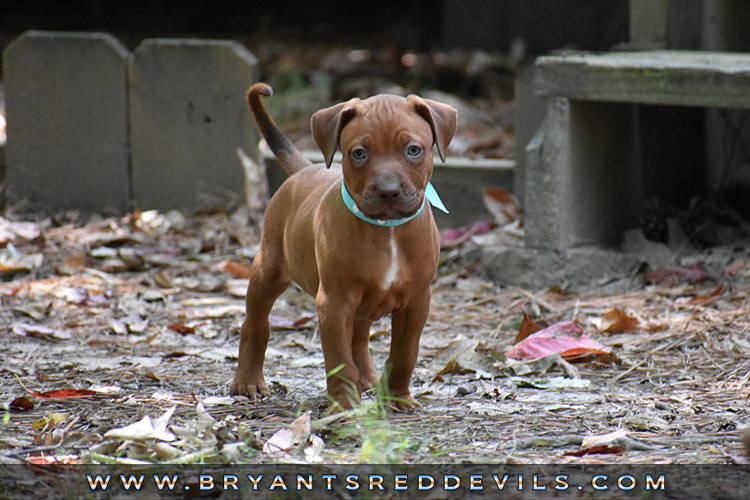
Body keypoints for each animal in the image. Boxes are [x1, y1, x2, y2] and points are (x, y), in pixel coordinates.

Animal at [231, 82, 458, 410]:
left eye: (413, 150)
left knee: (359, 338)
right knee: (256, 324)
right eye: (359, 154)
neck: (387, 229)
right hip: (268, 270)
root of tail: (304, 169)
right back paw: (247, 380)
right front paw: (344, 406)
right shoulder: (334, 303)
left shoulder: (417, 300)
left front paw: (398, 397)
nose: (388, 191)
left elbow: (405, 353)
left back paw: (368, 378)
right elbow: (339, 359)